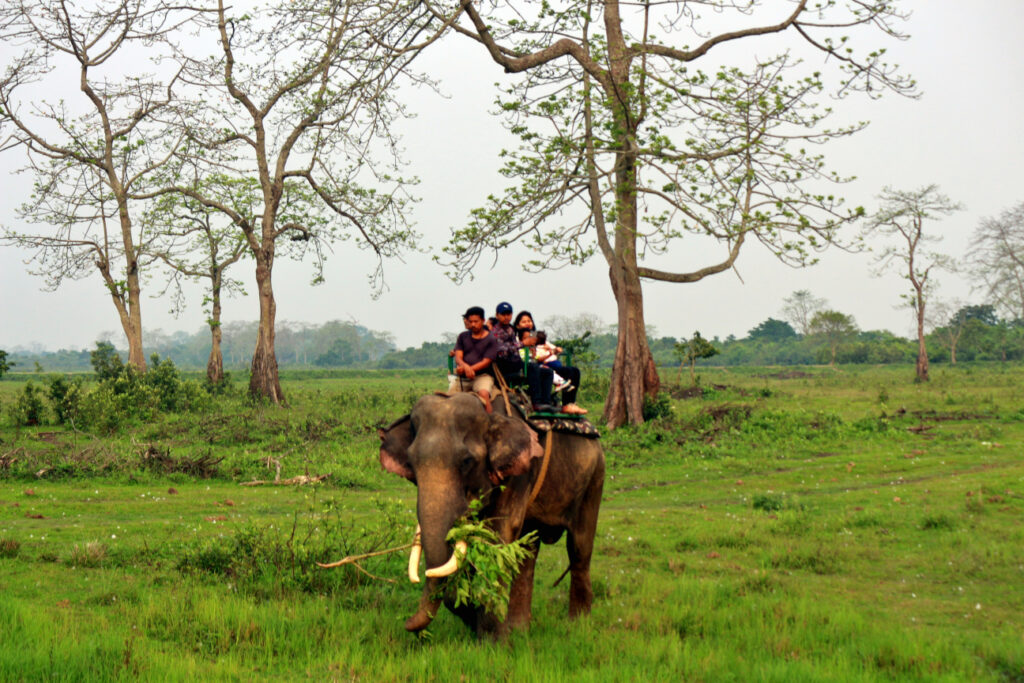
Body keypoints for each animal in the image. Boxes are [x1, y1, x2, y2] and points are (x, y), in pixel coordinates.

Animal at [380, 393, 602, 638]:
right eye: (411, 463)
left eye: (466, 461)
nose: (407, 624)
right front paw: (474, 618)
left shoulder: (518, 473)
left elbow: (499, 537)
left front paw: (491, 638)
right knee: (528, 551)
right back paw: (520, 630)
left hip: (594, 480)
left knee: (579, 548)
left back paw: (578, 625)